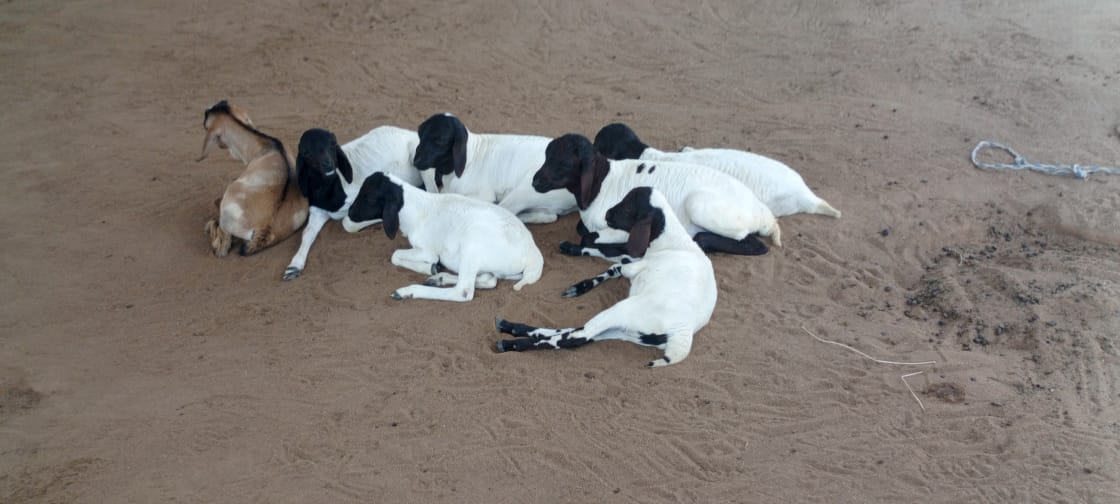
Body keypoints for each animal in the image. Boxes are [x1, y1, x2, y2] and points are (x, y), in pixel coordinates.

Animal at [283, 126, 424, 280]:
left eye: (332, 144)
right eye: (306, 152)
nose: (328, 164)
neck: (333, 187)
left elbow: (347, 223)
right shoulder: (317, 211)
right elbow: (307, 233)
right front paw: (294, 265)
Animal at [342, 172, 543, 302]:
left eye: (369, 197)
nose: (350, 212)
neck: (417, 209)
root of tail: (533, 256)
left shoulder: (426, 251)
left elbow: (396, 254)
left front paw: (429, 268)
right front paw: (432, 271)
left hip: (473, 244)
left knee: (463, 292)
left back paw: (408, 291)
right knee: (489, 280)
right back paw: (440, 279)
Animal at [412, 113, 577, 224]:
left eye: (440, 139)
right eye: (420, 134)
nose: (416, 161)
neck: (471, 156)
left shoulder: (484, 194)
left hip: (527, 188)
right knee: (548, 216)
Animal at [496, 186, 717, 367]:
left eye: (628, 206)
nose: (607, 214)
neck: (672, 241)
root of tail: (683, 332)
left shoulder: (636, 265)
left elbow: (616, 264)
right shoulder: (633, 260)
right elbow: (613, 263)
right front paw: (575, 268)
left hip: (624, 311)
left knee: (576, 336)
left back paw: (510, 342)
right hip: (627, 332)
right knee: (578, 332)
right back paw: (510, 327)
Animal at [532, 133, 780, 261]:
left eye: (564, 163)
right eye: (545, 155)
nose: (535, 182)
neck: (601, 183)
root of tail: (764, 213)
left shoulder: (622, 228)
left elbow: (588, 238)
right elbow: (582, 230)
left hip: (701, 206)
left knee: (754, 245)